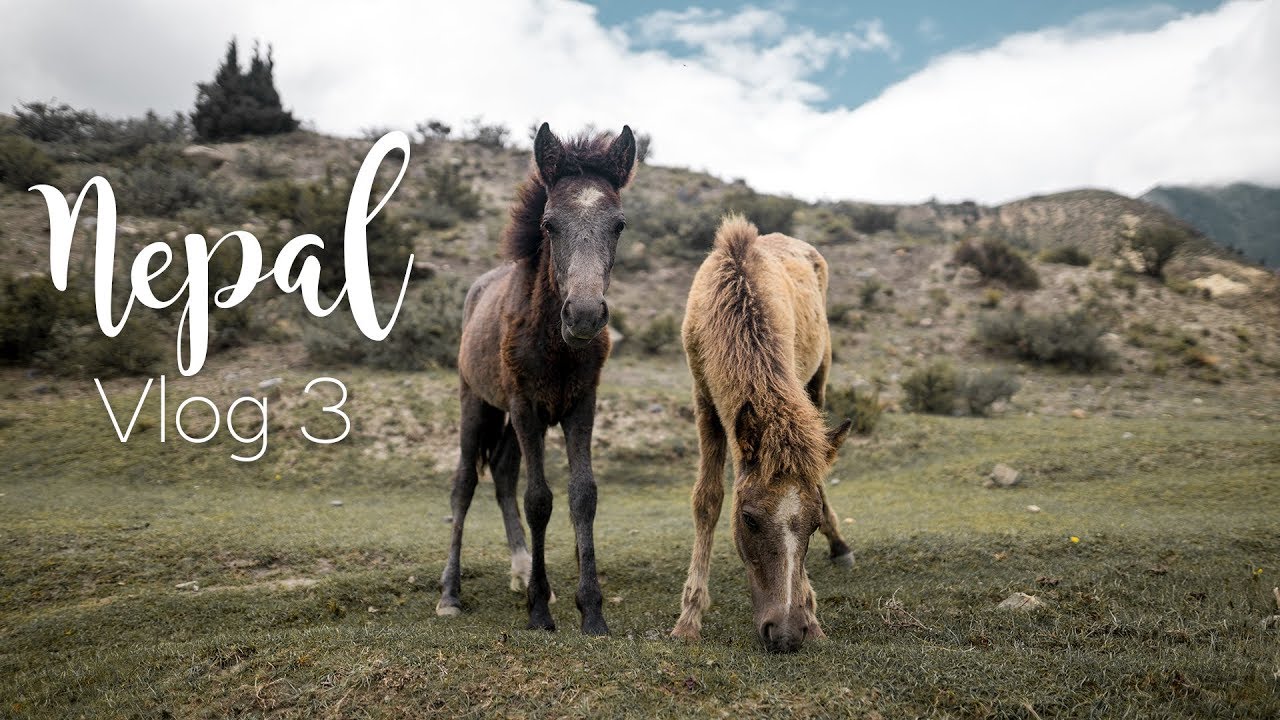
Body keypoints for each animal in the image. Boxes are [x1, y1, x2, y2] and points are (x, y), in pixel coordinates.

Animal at [435, 122, 636, 635]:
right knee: (465, 484)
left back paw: (523, 571)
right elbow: (539, 499)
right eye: (549, 224)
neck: (554, 345)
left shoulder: (581, 405)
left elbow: (582, 496)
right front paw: (541, 611)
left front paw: (591, 611)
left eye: (619, 225)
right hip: (479, 404)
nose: (584, 316)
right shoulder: (526, 407)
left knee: (503, 475)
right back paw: (450, 594)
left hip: (508, 418)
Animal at [672, 215, 853, 653]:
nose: (786, 634)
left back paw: (841, 546)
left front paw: (812, 615)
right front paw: (689, 618)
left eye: (813, 525)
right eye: (749, 519)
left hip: (819, 379)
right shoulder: (704, 399)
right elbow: (707, 499)